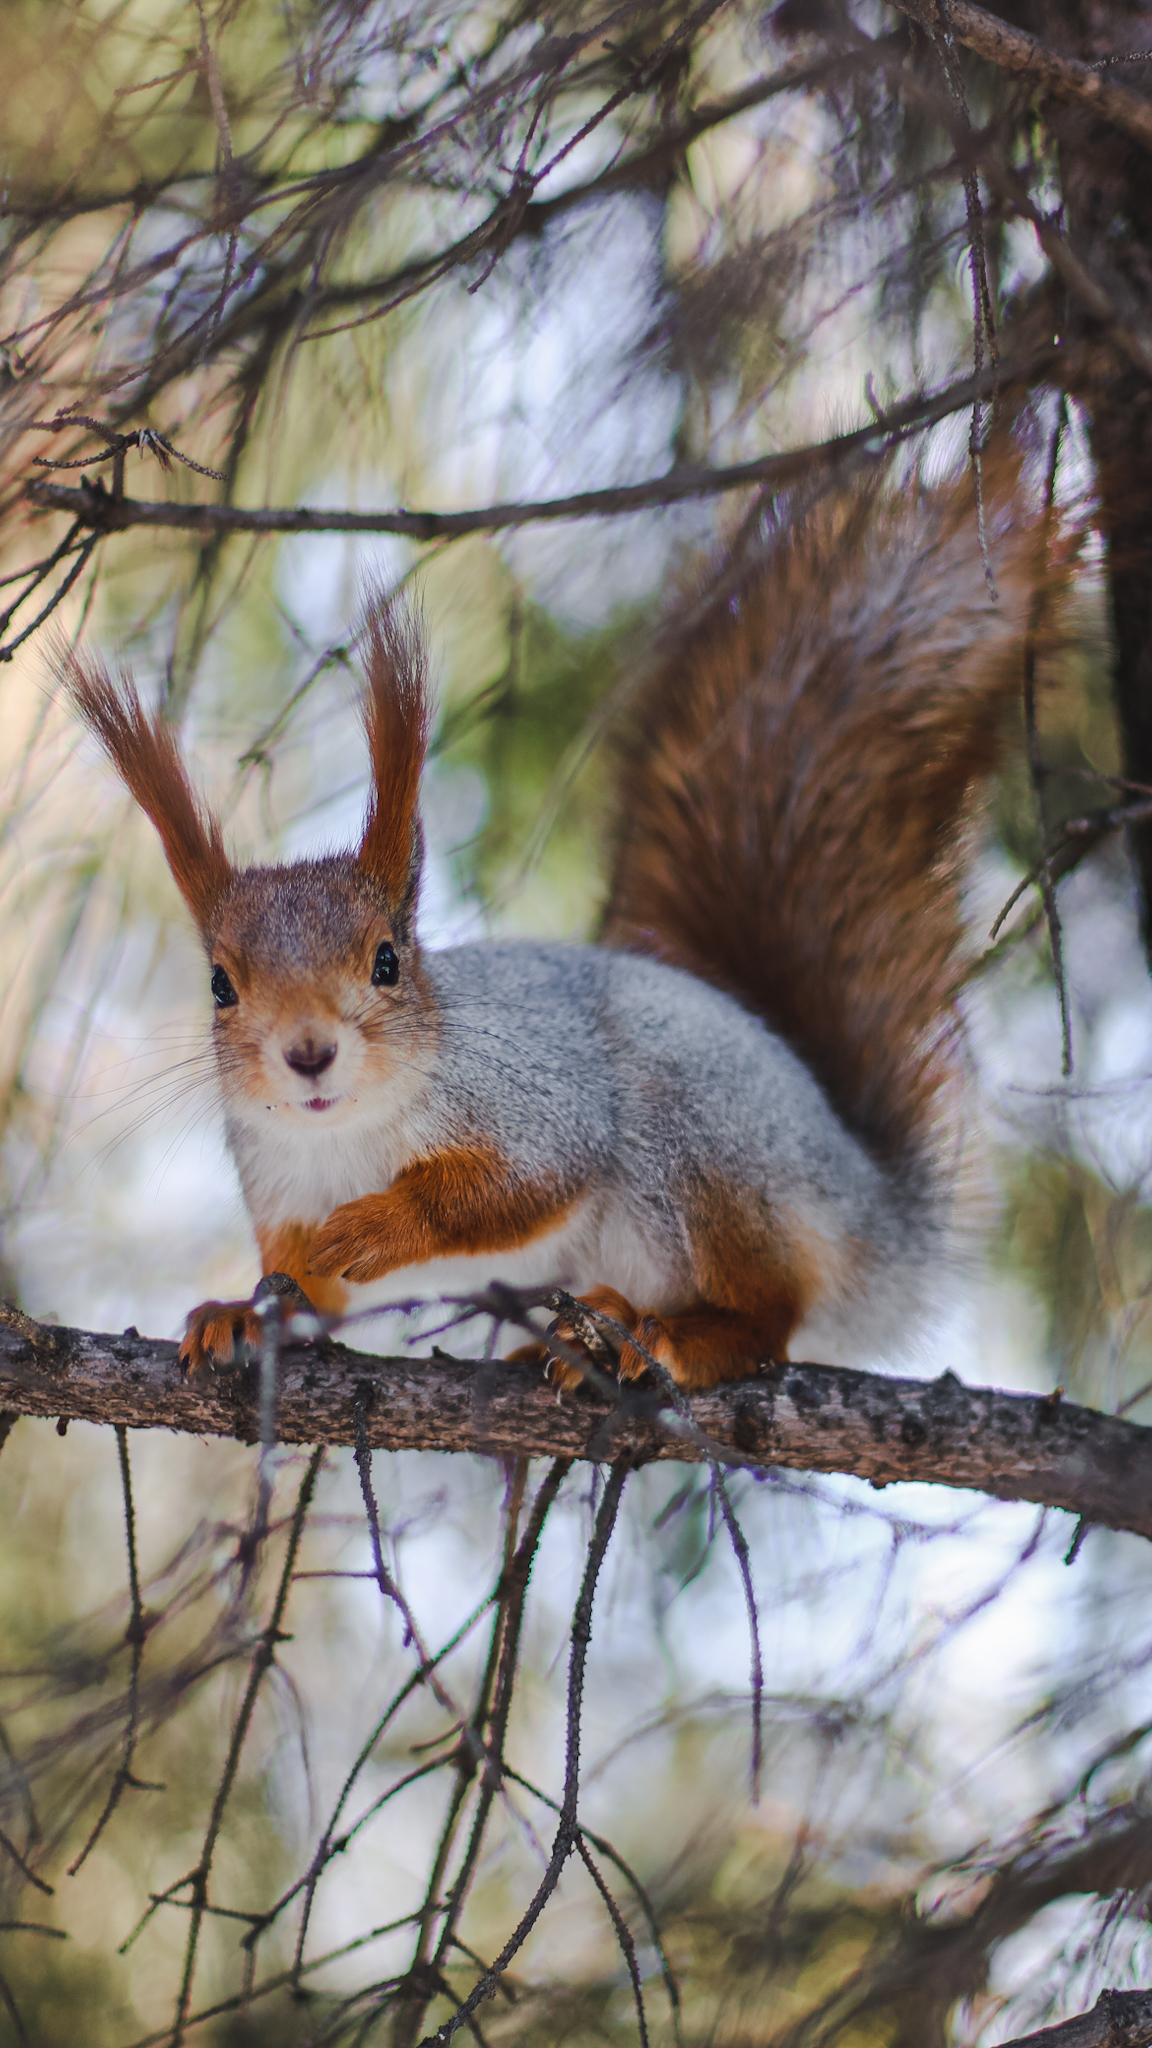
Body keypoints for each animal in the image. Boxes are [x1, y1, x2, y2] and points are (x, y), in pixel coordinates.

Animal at [60, 456, 1049, 1392]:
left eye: (387, 962)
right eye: (221, 985)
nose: (307, 1053)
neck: (347, 1136)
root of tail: (872, 1210)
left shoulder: (540, 1100)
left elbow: (519, 1187)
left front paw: (383, 1225)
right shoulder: (279, 1197)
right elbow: (308, 1295)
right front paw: (243, 1315)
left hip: (709, 1152)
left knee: (769, 1313)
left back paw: (672, 1339)